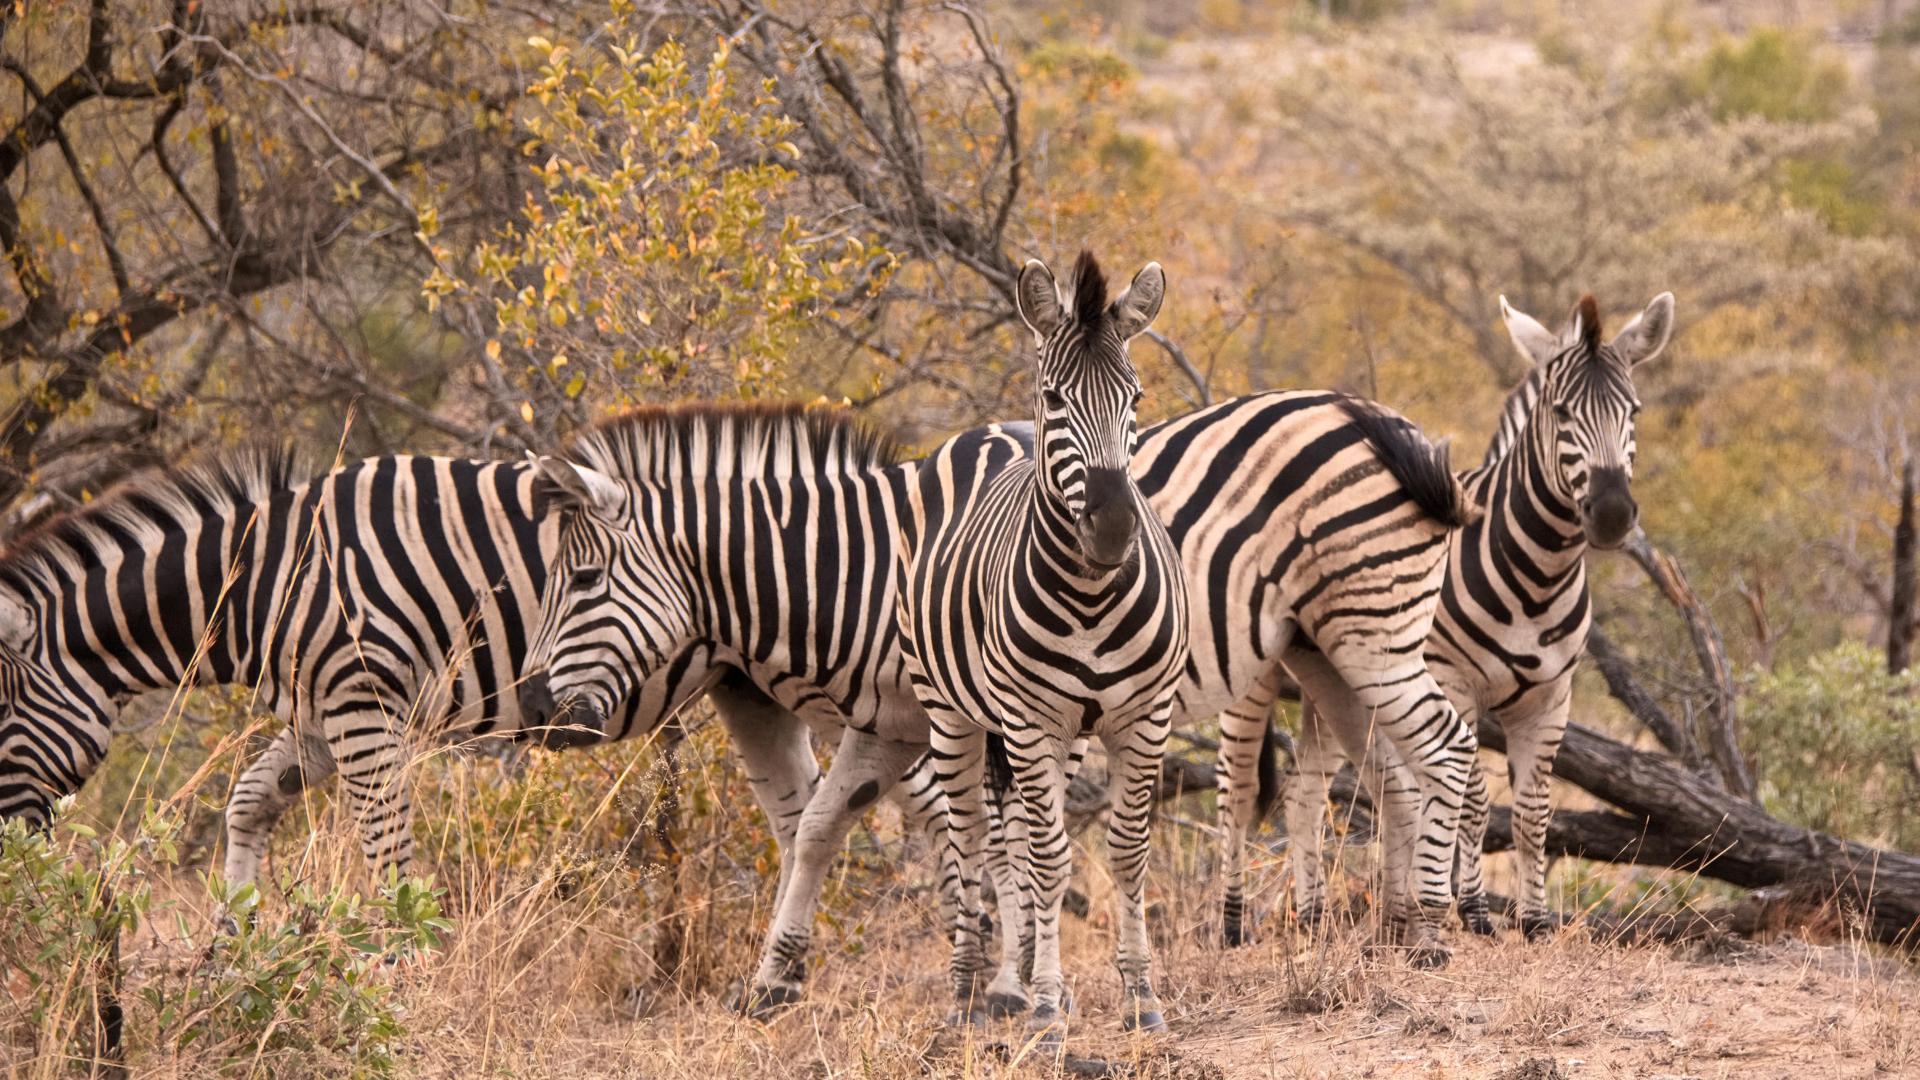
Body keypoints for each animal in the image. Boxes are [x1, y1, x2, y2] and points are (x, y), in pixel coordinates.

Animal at [894, 249, 1182, 1037]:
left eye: (1136, 398)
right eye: (1055, 399)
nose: (1112, 530)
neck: (1090, 595)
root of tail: (988, 428)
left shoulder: (1142, 718)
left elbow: (1127, 850)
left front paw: (1141, 996)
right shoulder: (1027, 719)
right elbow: (1051, 861)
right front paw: (1049, 1008)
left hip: (1062, 736)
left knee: (1015, 836)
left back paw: (1012, 979)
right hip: (952, 712)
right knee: (971, 836)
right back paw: (971, 989)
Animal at [1290, 290, 1681, 937]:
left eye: (1636, 410)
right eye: (1560, 413)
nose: (1611, 514)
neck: (1538, 577)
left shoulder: (1552, 697)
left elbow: (1532, 812)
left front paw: (1534, 920)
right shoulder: (1456, 682)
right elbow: (1473, 799)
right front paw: (1471, 911)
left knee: (1329, 781)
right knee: (1306, 787)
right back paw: (1308, 916)